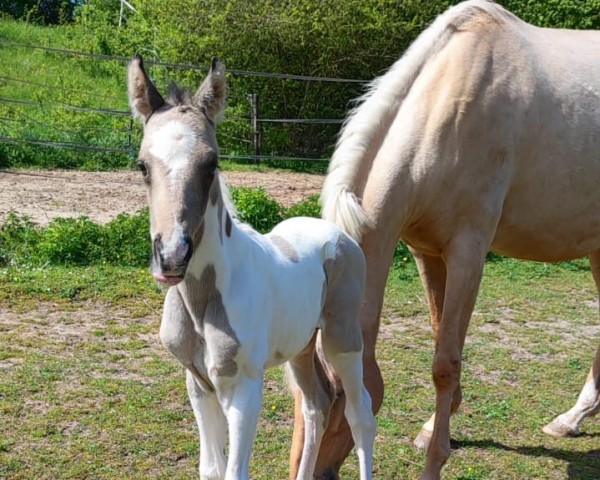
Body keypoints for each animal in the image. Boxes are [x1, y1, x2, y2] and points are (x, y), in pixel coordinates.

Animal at [126, 56, 376, 480]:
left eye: (212, 164)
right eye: (143, 166)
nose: (172, 257)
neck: (203, 303)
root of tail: (338, 234)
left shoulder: (243, 388)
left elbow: (233, 472)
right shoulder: (198, 384)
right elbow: (210, 469)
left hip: (342, 340)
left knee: (361, 415)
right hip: (301, 346)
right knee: (317, 405)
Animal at [290, 0, 600, 478]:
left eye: (339, 394)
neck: (448, 107)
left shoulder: (468, 252)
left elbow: (445, 363)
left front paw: (435, 459)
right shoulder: (426, 251)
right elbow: (441, 334)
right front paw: (436, 425)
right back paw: (571, 419)